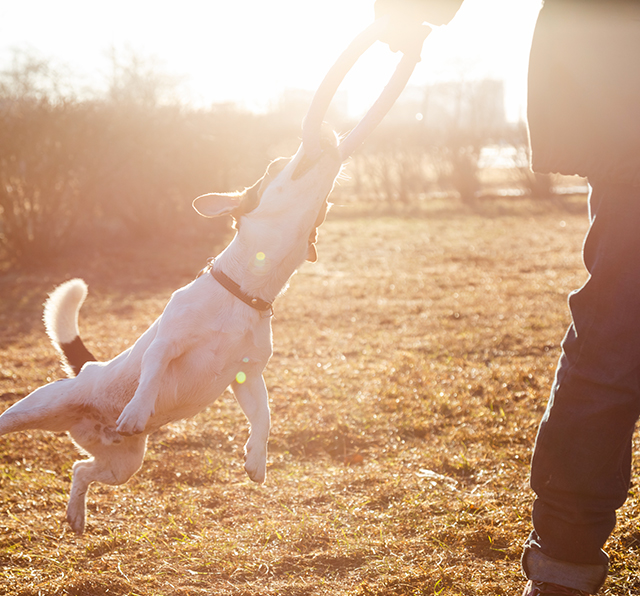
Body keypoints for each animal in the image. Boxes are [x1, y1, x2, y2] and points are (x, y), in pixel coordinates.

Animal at [0, 132, 342, 536]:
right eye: (275, 166)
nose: (324, 135)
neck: (242, 293)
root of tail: (88, 369)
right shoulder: (165, 346)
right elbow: (150, 377)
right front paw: (136, 410)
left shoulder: (247, 374)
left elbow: (264, 416)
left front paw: (256, 458)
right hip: (40, 408)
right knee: (18, 425)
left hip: (122, 466)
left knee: (80, 469)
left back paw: (76, 514)